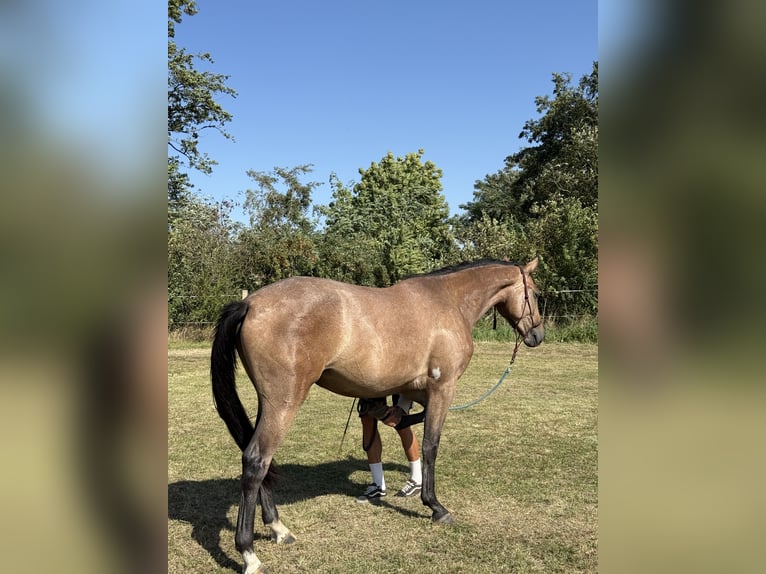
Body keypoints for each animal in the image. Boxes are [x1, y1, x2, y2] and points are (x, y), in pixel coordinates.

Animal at [211, 258, 545, 574]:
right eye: (536, 293)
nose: (538, 335)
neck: (448, 301)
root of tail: (250, 303)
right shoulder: (442, 390)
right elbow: (430, 446)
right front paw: (435, 506)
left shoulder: (409, 392)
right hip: (283, 404)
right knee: (256, 461)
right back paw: (250, 554)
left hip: (268, 403)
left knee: (259, 459)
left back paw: (278, 528)